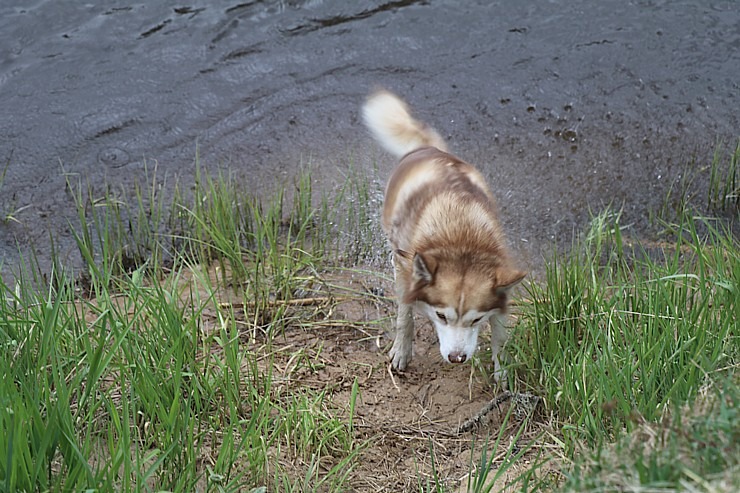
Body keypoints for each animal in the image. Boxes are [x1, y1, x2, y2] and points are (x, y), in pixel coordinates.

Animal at [364, 89, 528, 384]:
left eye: (476, 320)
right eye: (441, 316)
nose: (457, 358)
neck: (462, 241)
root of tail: (430, 148)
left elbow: (500, 334)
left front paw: (503, 371)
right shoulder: (405, 270)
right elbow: (405, 317)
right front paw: (401, 351)